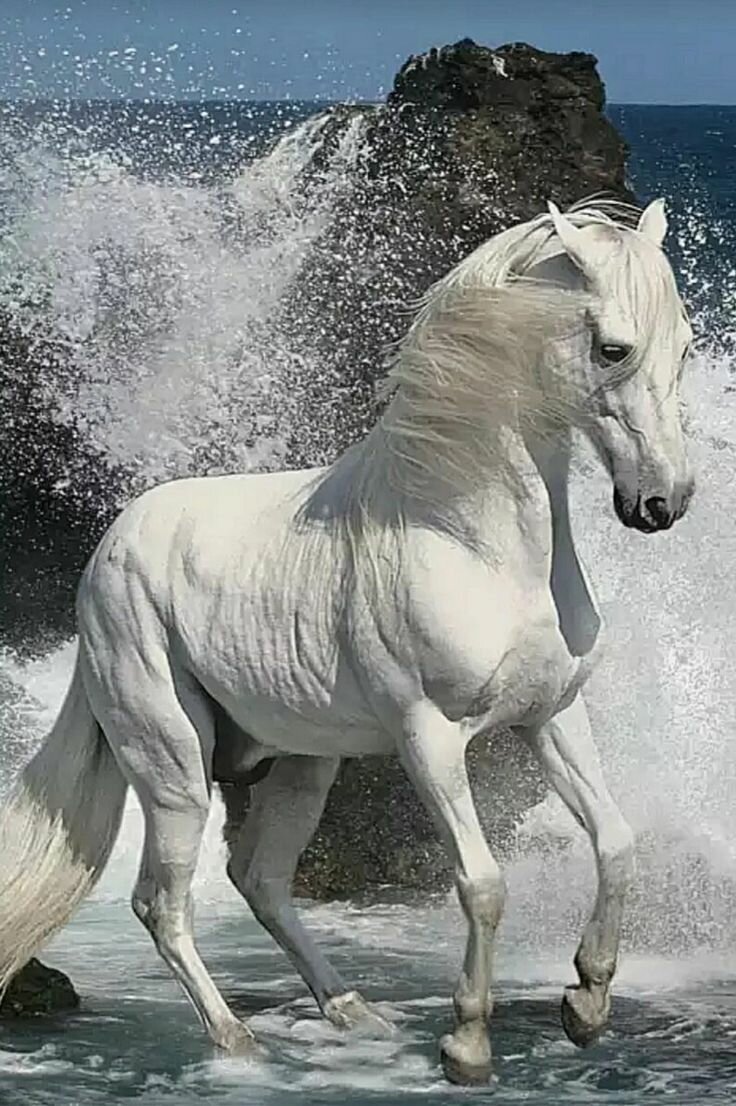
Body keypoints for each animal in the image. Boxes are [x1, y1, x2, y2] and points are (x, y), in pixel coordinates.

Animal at [0, 197, 693, 1086]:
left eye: (685, 346)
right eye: (614, 348)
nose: (662, 503)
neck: (469, 537)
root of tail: (107, 552)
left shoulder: (551, 718)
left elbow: (616, 844)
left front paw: (587, 1003)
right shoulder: (429, 738)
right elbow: (483, 883)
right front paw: (467, 1045)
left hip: (302, 763)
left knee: (259, 879)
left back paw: (351, 1010)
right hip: (173, 765)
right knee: (163, 901)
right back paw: (237, 1042)